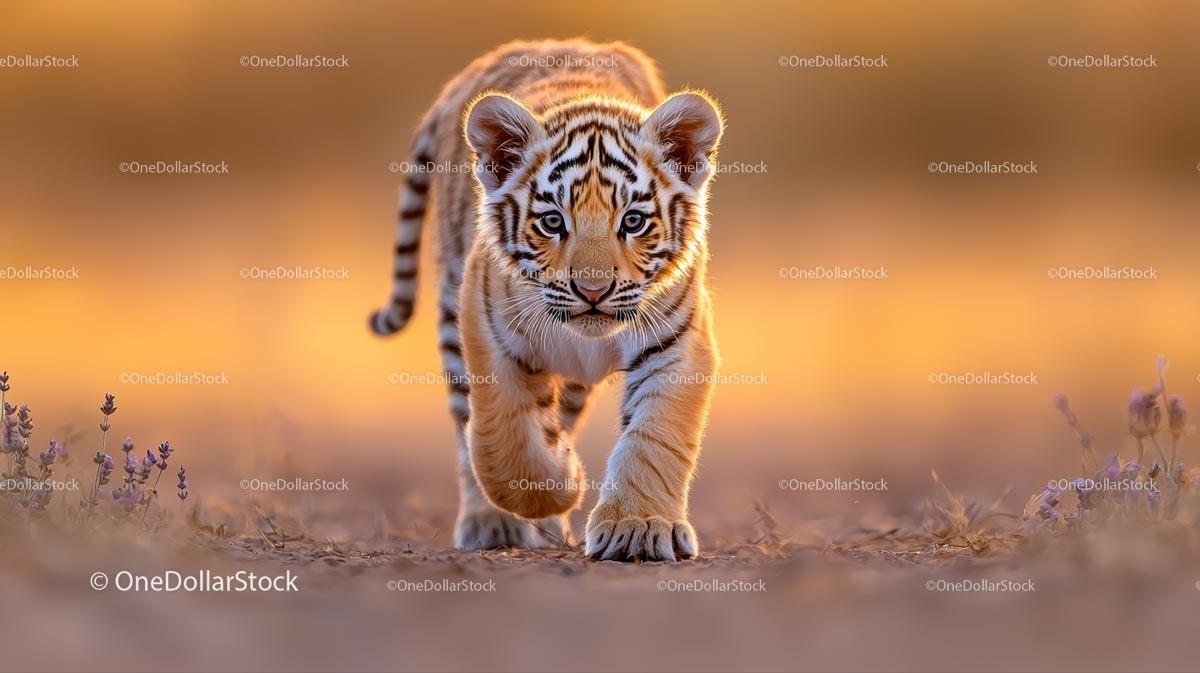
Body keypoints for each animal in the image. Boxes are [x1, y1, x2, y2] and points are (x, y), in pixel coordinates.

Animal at [370, 39, 722, 562]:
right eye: (553, 222)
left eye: (634, 221)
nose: (593, 292)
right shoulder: (487, 327)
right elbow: (502, 435)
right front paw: (557, 486)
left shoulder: (676, 342)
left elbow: (655, 437)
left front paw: (636, 528)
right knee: (469, 428)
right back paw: (491, 520)